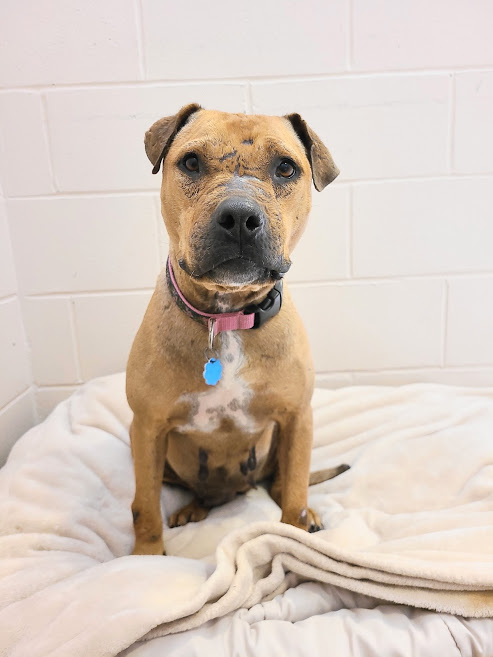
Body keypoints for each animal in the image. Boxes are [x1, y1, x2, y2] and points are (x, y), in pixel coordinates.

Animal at [127, 104, 346, 552]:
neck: (226, 318)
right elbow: (145, 506)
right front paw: (144, 556)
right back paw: (194, 507)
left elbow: (294, 494)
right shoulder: (147, 426)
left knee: (284, 484)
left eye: (286, 168)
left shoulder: (297, 418)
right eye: (191, 162)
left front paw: (294, 544)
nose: (241, 216)